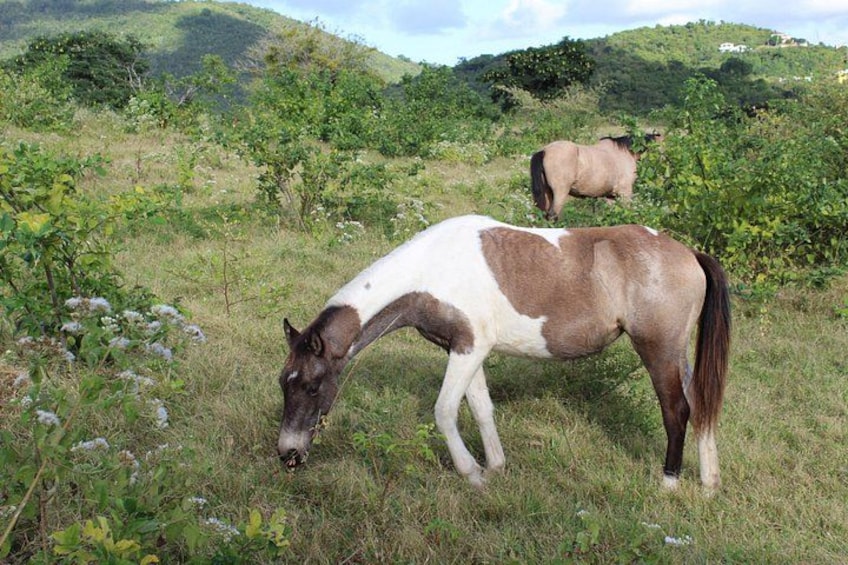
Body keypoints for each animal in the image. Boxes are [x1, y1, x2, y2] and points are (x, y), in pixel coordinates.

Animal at [277, 214, 730, 490]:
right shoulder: (467, 351)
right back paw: (709, 484)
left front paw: (472, 473)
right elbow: (481, 408)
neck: (431, 270)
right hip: (678, 356)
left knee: (677, 410)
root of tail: (690, 253)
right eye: (285, 383)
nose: (288, 455)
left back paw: (669, 482)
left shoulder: (468, 348)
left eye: (313, 385)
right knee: (701, 405)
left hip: (658, 351)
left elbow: (444, 410)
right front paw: (495, 467)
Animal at [530, 133, 662, 220]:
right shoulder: (625, 193)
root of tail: (544, 151)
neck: (625, 153)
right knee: (553, 215)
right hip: (560, 193)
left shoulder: (610, 196)